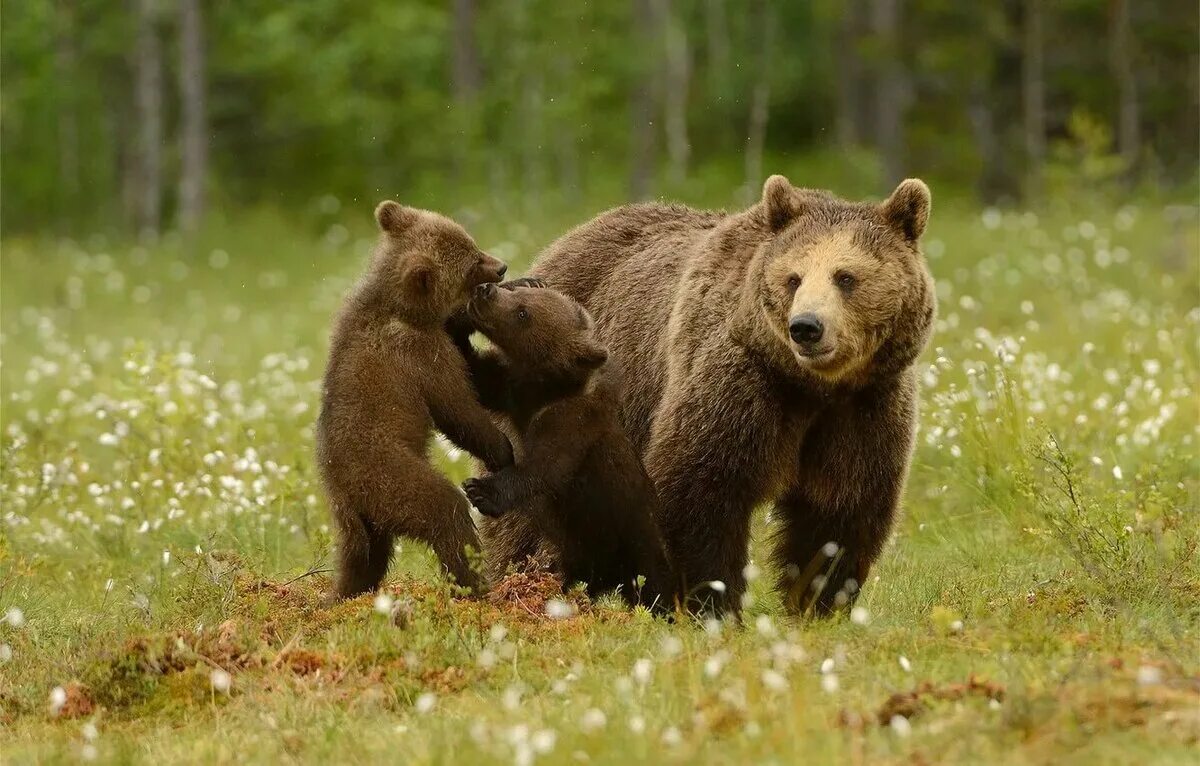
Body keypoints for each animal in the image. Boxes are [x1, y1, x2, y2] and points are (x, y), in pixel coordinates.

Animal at [528, 175, 936, 619]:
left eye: (845, 277)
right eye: (793, 278)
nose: (806, 327)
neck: (812, 387)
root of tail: (564, 241)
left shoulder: (864, 406)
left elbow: (840, 508)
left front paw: (818, 604)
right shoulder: (739, 384)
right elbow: (699, 487)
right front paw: (707, 603)